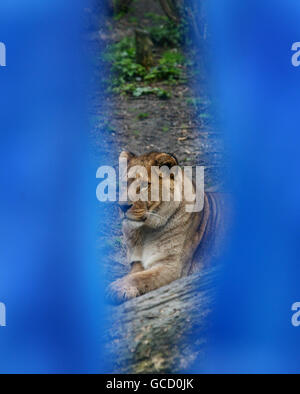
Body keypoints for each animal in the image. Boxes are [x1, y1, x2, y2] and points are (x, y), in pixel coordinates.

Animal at [106, 151, 226, 304]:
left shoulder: (173, 266)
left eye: (144, 185)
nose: (122, 206)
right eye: (123, 183)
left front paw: (117, 288)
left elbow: (142, 277)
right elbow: (134, 274)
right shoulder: (137, 261)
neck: (144, 231)